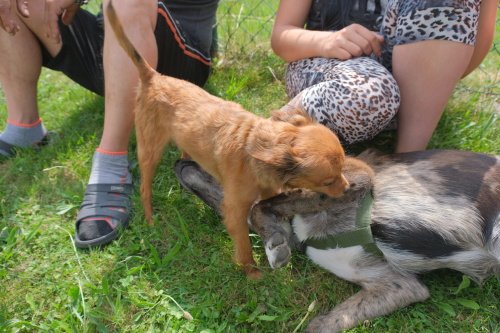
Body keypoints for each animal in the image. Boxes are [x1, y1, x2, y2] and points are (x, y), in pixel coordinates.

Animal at [105, 1, 348, 278]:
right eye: (328, 181)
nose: (347, 188)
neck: (255, 148)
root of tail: (153, 77)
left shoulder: (266, 194)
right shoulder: (234, 210)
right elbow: (242, 243)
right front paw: (252, 273)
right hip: (150, 149)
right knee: (145, 188)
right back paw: (149, 218)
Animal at [174, 148, 498, 332]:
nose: (179, 163)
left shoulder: (355, 175)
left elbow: (261, 206)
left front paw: (273, 242)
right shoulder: (399, 285)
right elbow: (323, 323)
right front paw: (275, 238)